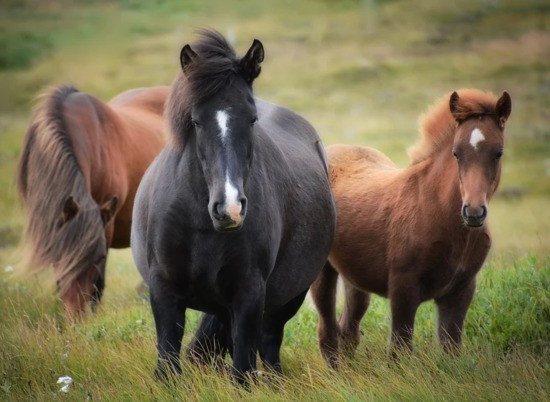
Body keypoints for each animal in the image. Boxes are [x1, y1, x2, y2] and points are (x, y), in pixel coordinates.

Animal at [131, 30, 336, 384]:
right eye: (196, 121)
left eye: (252, 119)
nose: (230, 209)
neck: (200, 225)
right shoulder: (164, 291)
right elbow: (168, 362)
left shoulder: (249, 295)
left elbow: (242, 369)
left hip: (288, 298)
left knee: (269, 344)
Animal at [312, 89, 516, 366]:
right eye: (456, 153)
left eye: (498, 153)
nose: (473, 212)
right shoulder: (403, 288)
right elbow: (399, 349)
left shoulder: (461, 290)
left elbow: (451, 348)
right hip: (322, 271)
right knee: (328, 332)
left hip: (354, 276)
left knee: (348, 329)